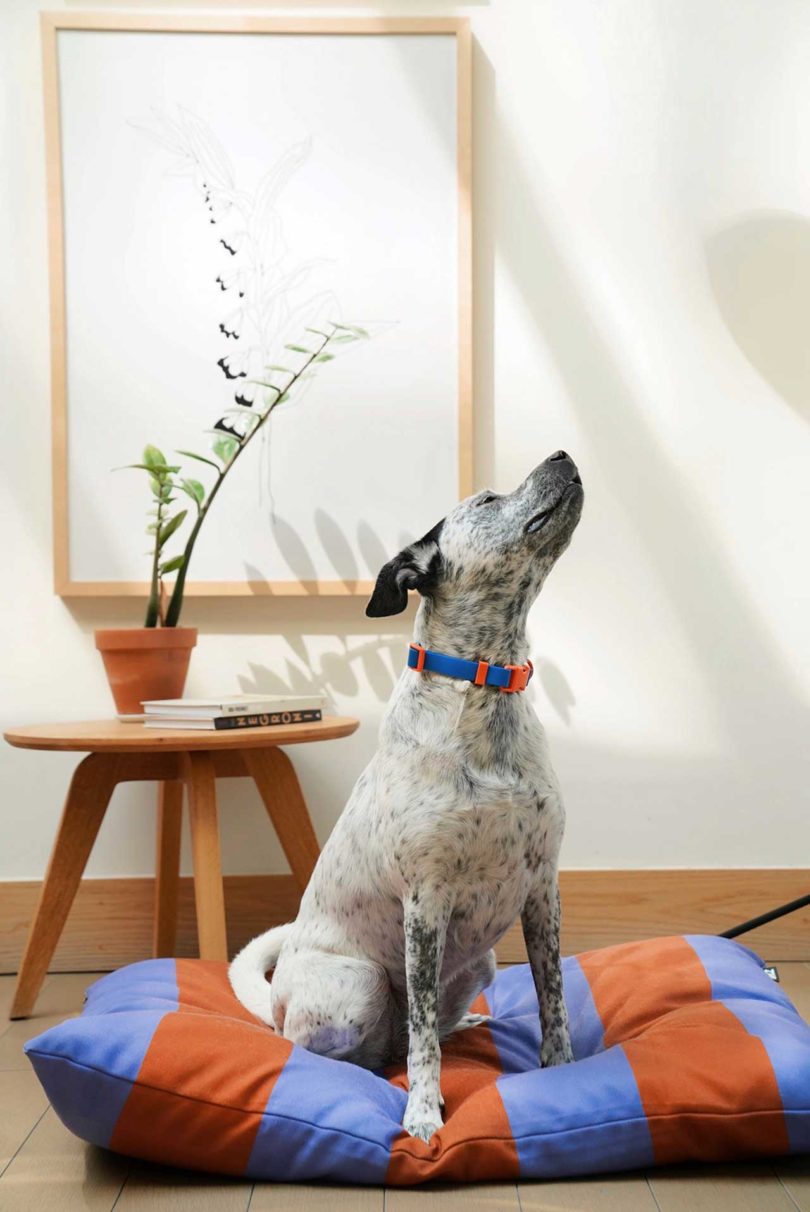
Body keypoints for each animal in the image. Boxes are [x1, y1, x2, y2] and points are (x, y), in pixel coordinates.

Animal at [227, 450, 582, 1139]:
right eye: (489, 499)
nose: (561, 454)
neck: (485, 688)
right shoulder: (425, 902)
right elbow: (423, 1041)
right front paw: (422, 1111)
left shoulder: (542, 888)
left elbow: (551, 996)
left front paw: (562, 1068)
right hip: (358, 983)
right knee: (334, 1046)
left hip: (481, 964)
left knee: (416, 1034)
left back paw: (468, 1023)